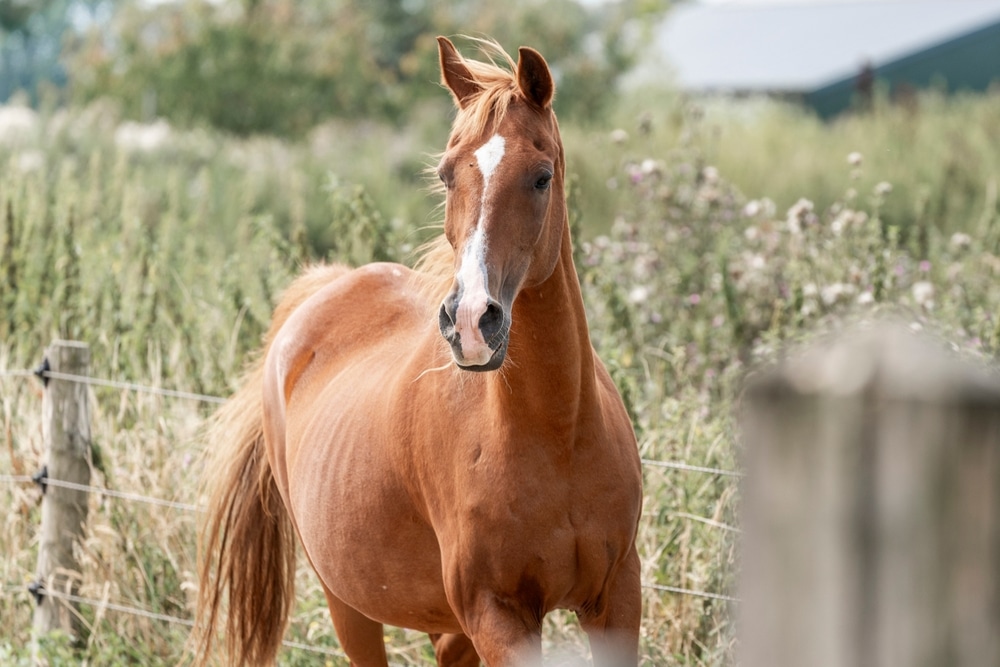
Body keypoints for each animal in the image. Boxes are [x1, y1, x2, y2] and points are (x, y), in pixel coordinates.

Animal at [194, 37, 644, 667]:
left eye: (541, 177)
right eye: (446, 175)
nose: (473, 321)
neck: (558, 436)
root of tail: (324, 289)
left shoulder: (617, 598)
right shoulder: (498, 617)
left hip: (446, 627)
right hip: (350, 606)